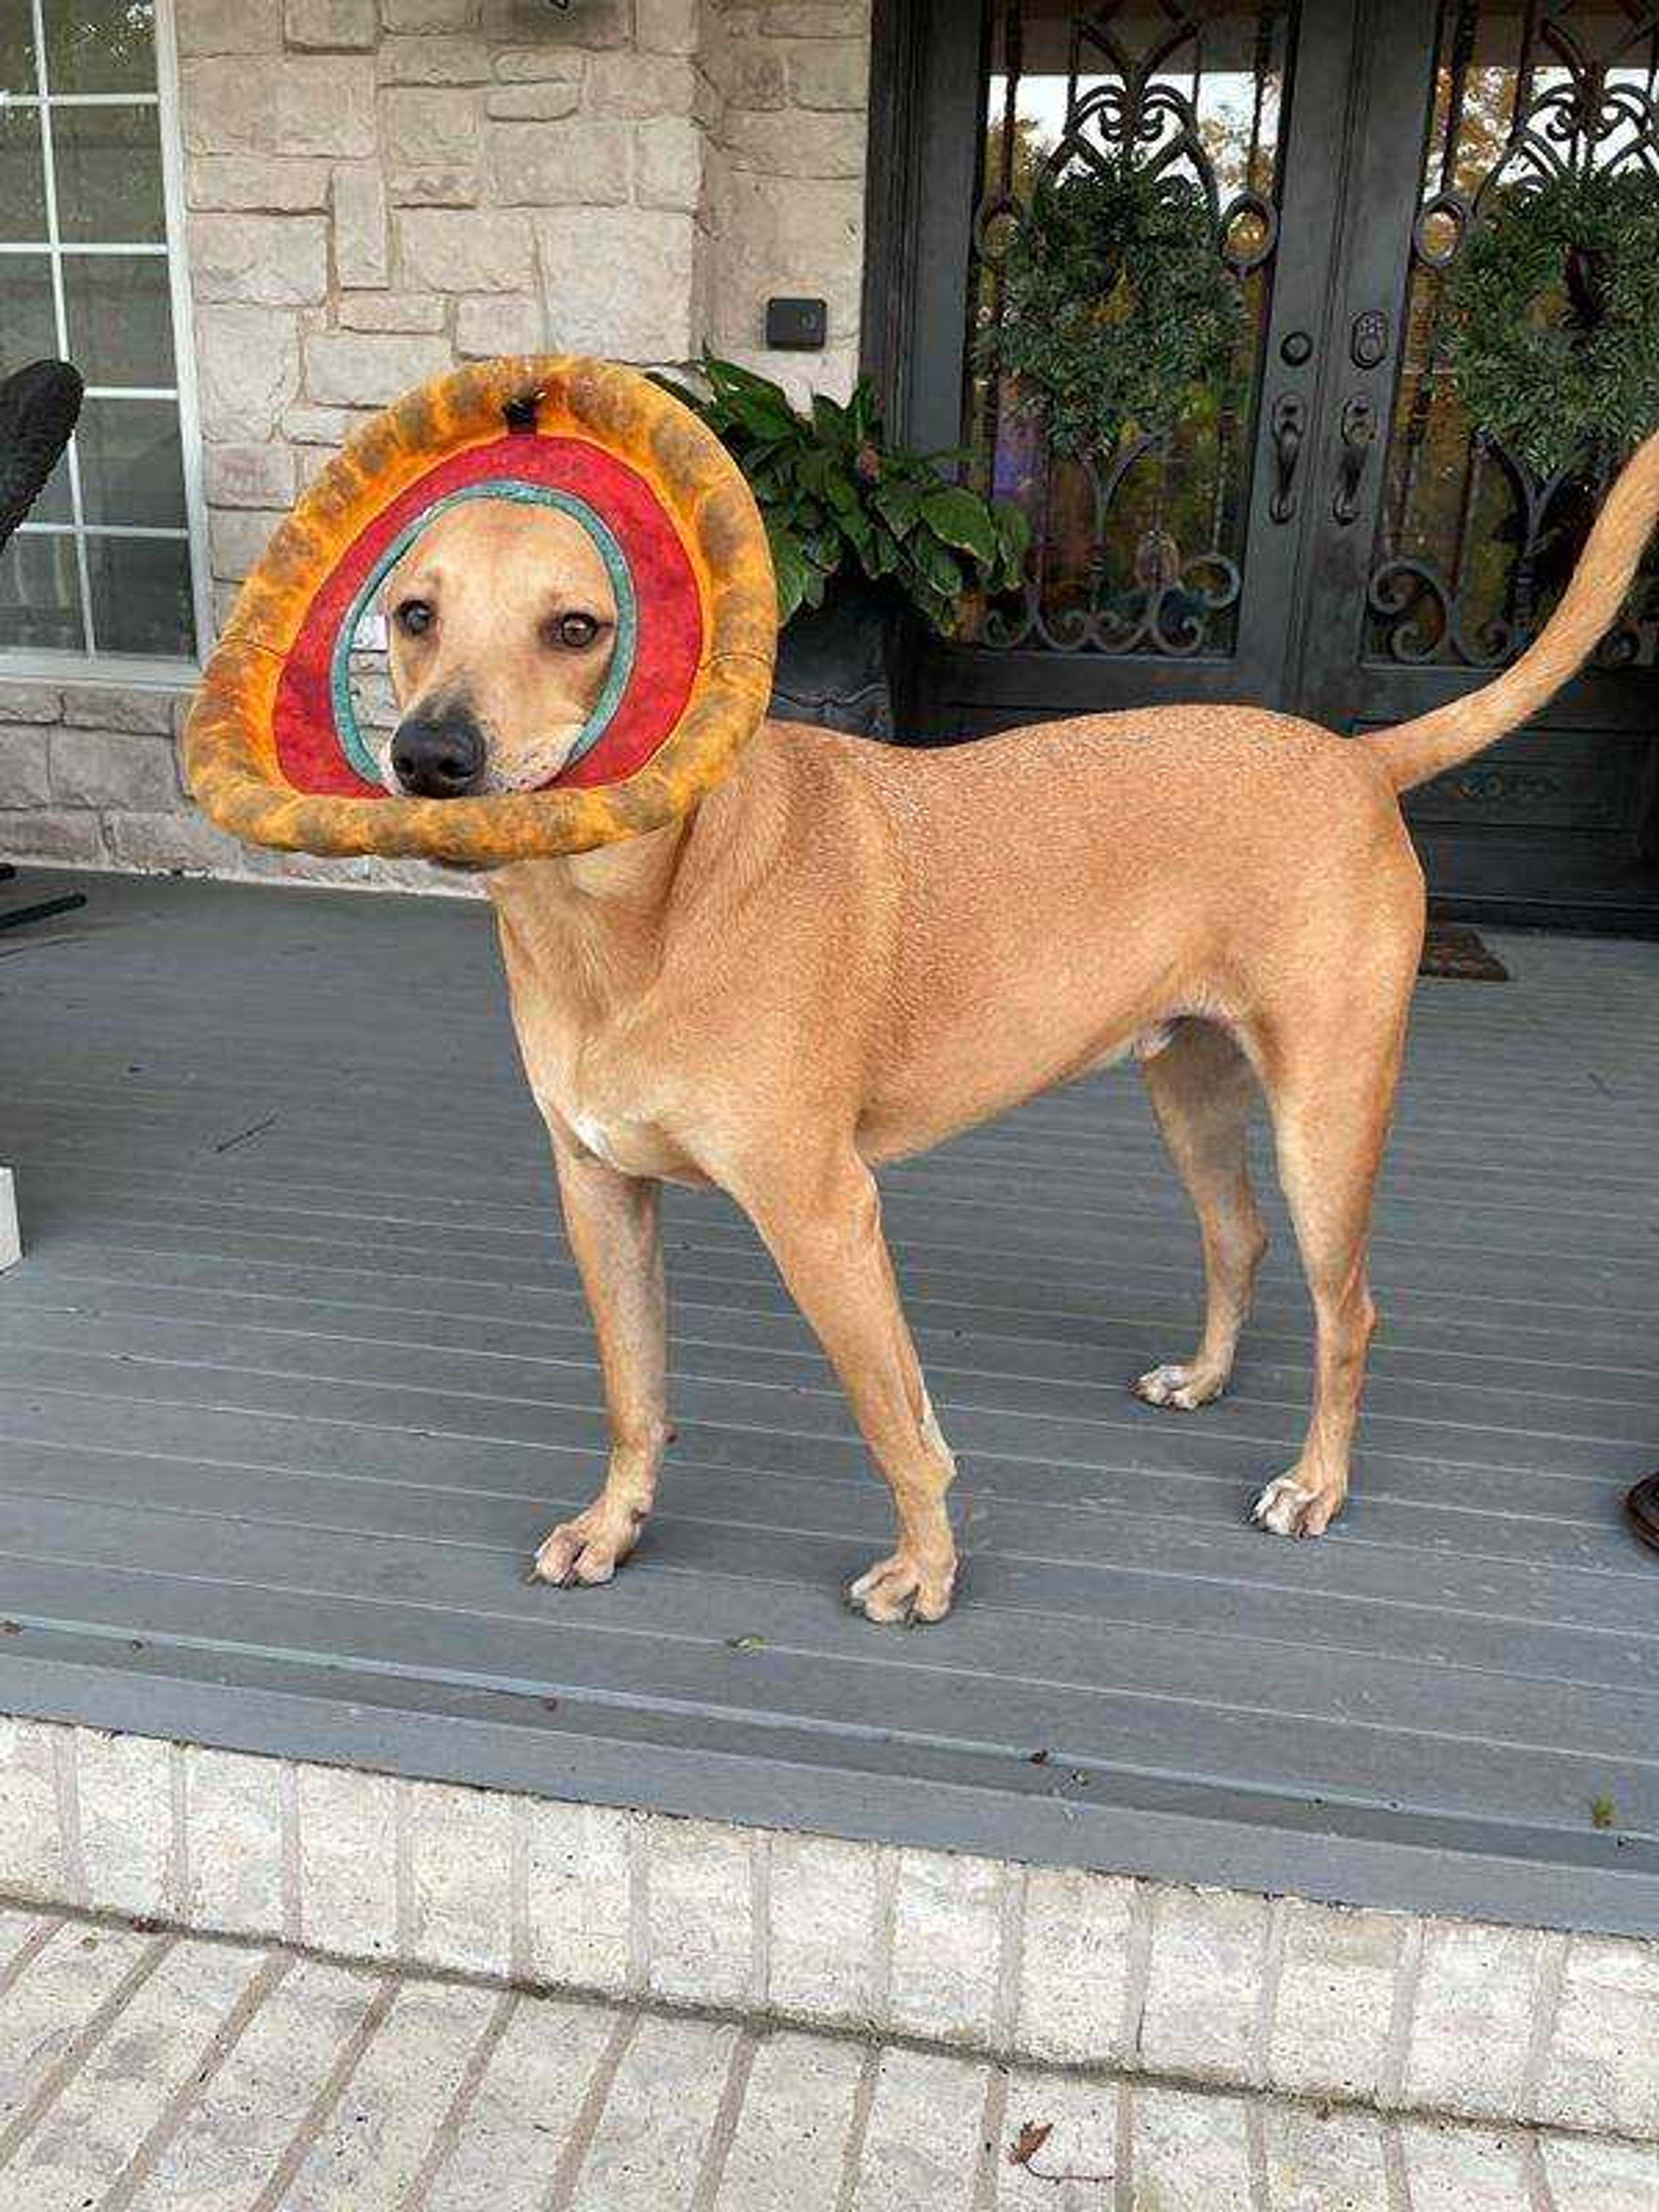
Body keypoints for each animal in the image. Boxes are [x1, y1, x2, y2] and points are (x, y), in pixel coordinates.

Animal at [376, 445, 1659, 1628]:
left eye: (577, 628)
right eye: (414, 614)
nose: (429, 757)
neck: (634, 917)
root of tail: (1355, 755)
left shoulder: (823, 1216)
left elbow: (897, 1423)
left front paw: (929, 1572)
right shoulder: (597, 1191)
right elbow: (633, 1393)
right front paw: (614, 1528)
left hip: (1326, 1126)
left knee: (1348, 1312)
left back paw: (1317, 1483)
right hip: (1191, 1092)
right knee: (1236, 1238)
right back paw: (1205, 1378)